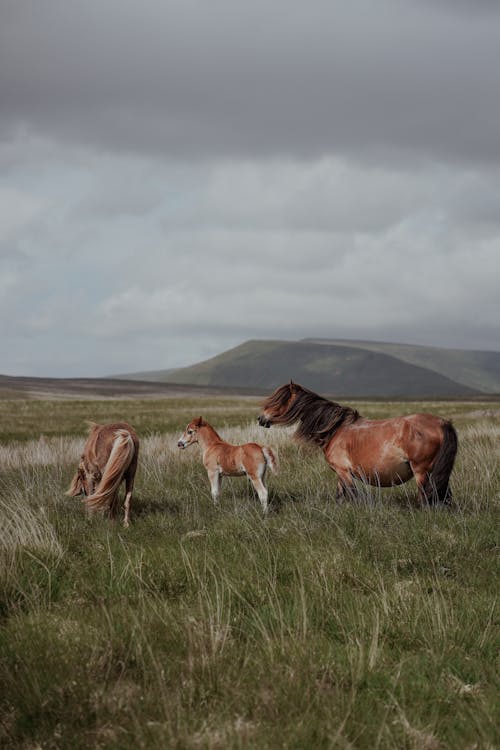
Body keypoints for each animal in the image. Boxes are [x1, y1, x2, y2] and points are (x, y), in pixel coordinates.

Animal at [258, 382, 458, 506]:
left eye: (280, 400)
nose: (261, 419)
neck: (335, 429)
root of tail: (442, 423)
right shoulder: (340, 474)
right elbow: (340, 497)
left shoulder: (344, 472)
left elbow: (353, 495)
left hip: (421, 472)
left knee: (425, 498)